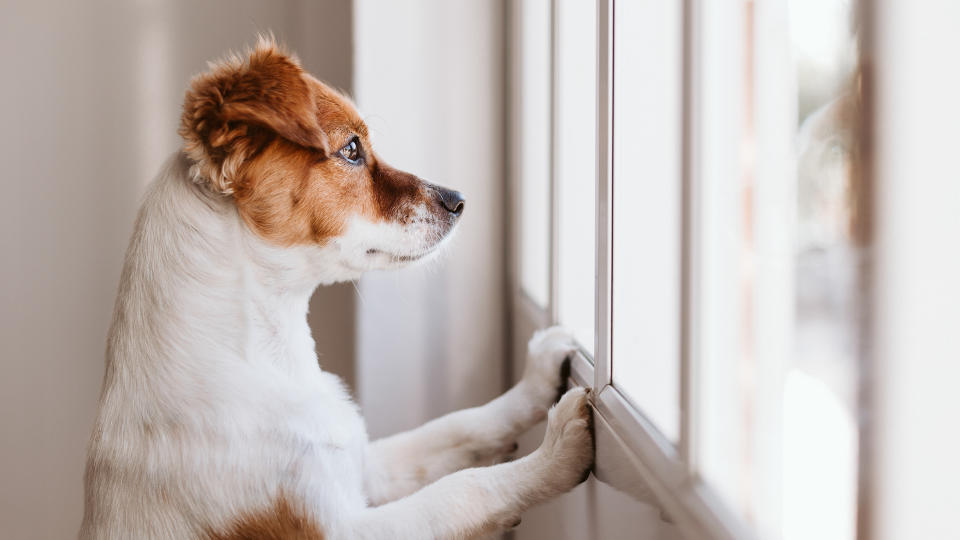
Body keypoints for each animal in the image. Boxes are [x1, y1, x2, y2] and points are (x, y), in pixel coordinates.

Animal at [80, 35, 592, 536]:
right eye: (350, 150)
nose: (459, 200)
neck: (269, 357)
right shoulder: (342, 526)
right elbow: (462, 491)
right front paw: (554, 454)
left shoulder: (363, 467)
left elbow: (457, 427)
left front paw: (536, 380)